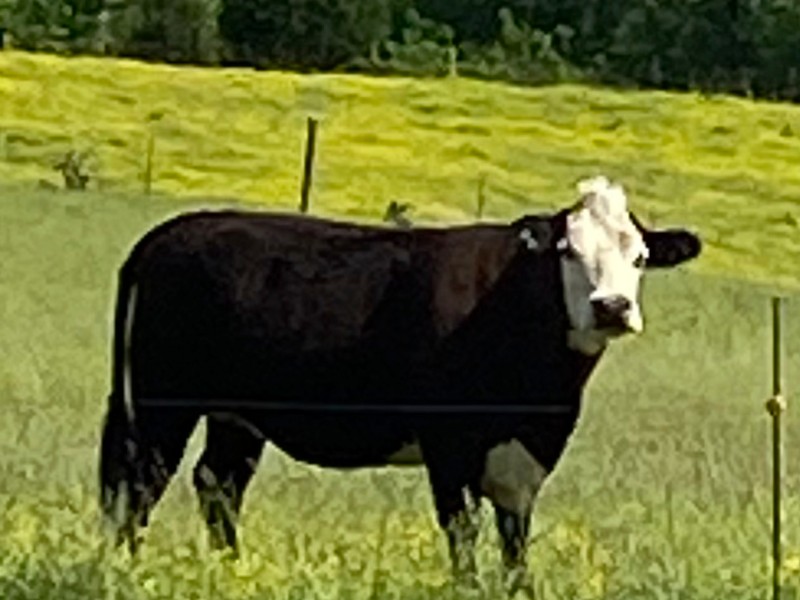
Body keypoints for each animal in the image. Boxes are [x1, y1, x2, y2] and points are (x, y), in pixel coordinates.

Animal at [99, 175, 701, 588]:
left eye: (639, 258)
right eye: (568, 251)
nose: (612, 307)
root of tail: (167, 234)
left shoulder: (526, 455)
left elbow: (515, 542)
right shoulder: (450, 444)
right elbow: (463, 532)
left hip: (236, 418)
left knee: (218, 486)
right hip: (158, 405)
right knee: (138, 486)